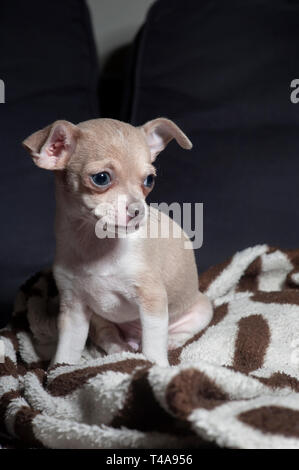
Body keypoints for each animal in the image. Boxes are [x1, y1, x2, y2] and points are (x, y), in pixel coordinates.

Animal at [23, 117, 213, 368]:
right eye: (101, 178)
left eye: (149, 180)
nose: (138, 210)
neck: (95, 244)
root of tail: (133, 337)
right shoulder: (73, 310)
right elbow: (67, 350)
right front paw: (57, 370)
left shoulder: (152, 300)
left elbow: (154, 345)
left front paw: (159, 368)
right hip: (97, 318)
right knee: (107, 335)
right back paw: (120, 349)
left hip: (201, 309)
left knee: (176, 333)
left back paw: (170, 342)